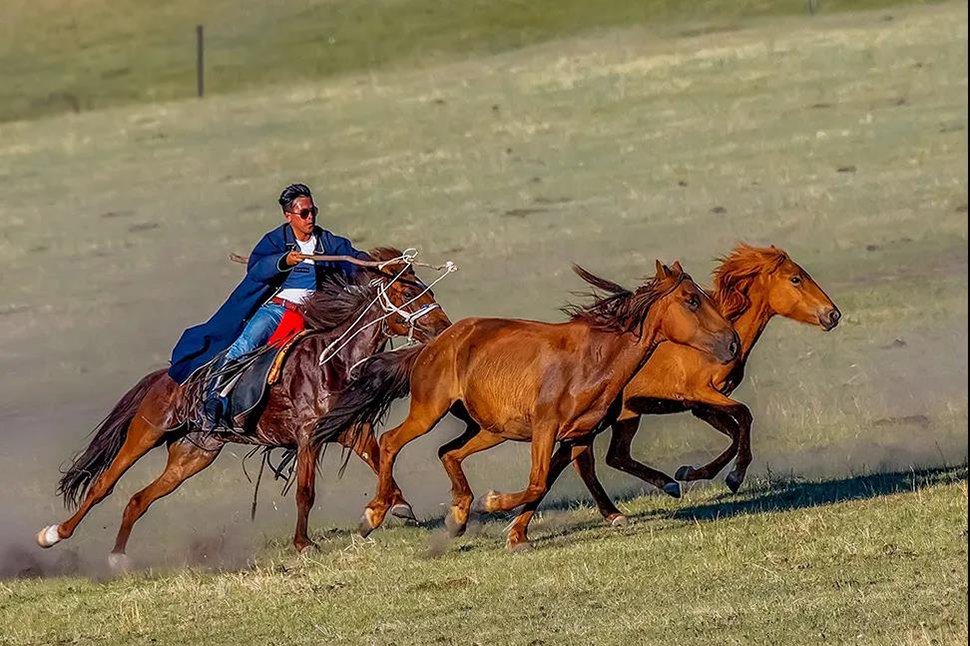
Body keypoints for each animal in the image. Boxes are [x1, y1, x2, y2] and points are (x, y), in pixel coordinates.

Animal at [34, 249, 450, 568]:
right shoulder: (307, 437)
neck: (330, 360)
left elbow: (379, 458)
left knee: (139, 499)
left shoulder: (348, 430)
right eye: (406, 289)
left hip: (194, 454)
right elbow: (306, 492)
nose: (443, 325)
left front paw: (394, 506)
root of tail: (166, 375)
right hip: (148, 432)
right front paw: (304, 543)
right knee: (104, 483)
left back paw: (118, 556)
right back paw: (53, 534)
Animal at [314, 260, 736, 548]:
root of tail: (432, 344)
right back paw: (374, 514)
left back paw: (458, 515)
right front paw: (495, 503)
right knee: (390, 442)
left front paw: (515, 534)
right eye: (692, 300)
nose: (731, 342)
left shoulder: (576, 436)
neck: (594, 357)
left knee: (449, 452)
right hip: (428, 412)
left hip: (489, 428)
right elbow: (537, 483)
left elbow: (545, 484)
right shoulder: (546, 430)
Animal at [502, 246, 836, 548]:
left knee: (601, 458)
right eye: (795, 279)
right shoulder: (700, 394)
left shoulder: (701, 406)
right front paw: (732, 477)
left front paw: (693, 472)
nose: (833, 315)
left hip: (619, 416)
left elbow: (735, 433)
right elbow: (744, 417)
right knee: (582, 462)